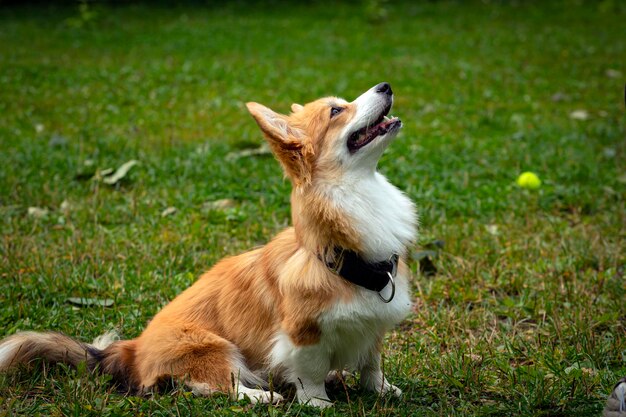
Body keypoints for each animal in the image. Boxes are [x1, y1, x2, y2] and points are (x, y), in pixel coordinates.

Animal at [2, 81, 420, 406]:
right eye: (337, 110)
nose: (386, 86)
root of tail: (132, 350)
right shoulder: (302, 333)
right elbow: (310, 370)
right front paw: (317, 401)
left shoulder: (374, 322)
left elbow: (371, 363)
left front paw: (381, 390)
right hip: (213, 347)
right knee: (215, 384)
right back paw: (261, 395)